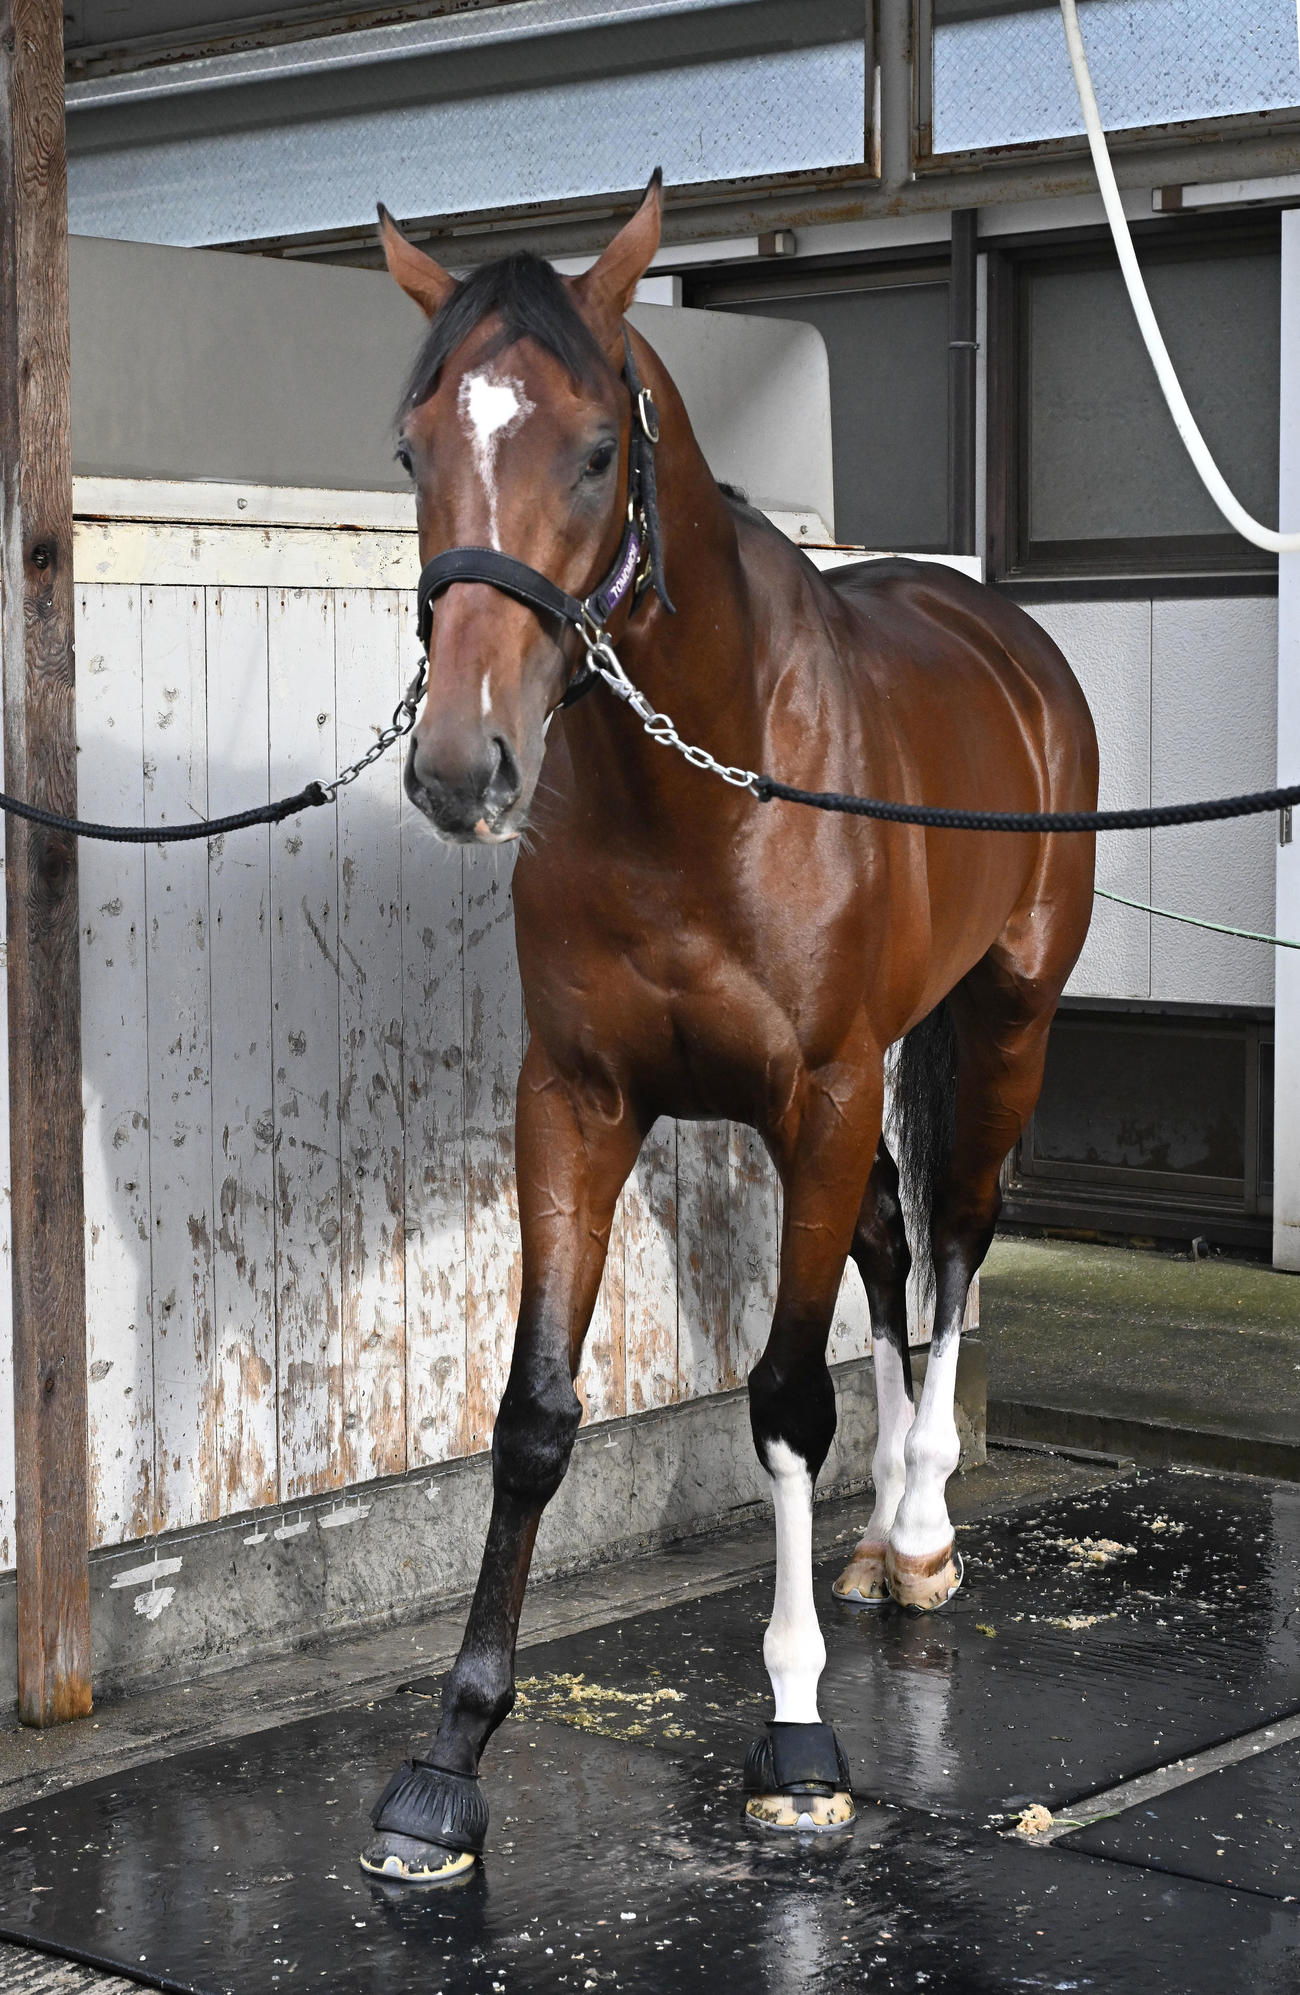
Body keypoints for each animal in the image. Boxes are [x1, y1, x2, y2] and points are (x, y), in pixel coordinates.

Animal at [361, 174, 1098, 1882]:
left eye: (591, 448)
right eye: (414, 444)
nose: (461, 765)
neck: (702, 784)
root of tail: (1006, 638)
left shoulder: (819, 1093)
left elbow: (784, 1402)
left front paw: (801, 1733)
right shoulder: (577, 1099)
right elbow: (534, 1418)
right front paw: (449, 1757)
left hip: (1003, 1021)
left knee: (956, 1238)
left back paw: (920, 1525)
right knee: (895, 1244)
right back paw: (890, 1535)